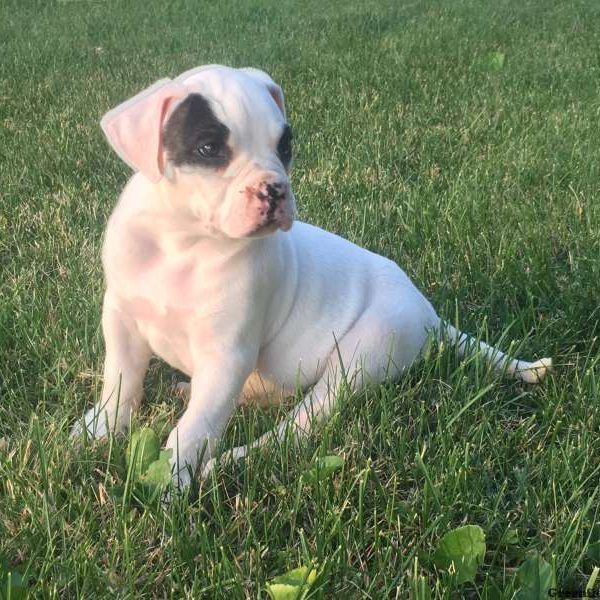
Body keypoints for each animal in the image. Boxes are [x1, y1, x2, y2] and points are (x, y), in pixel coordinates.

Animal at [71, 65, 552, 488]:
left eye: (284, 147)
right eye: (208, 148)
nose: (274, 189)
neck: (183, 241)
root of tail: (429, 315)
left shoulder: (226, 354)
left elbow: (196, 426)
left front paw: (173, 477)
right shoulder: (122, 320)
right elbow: (120, 382)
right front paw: (100, 431)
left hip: (358, 360)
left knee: (296, 429)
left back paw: (228, 461)